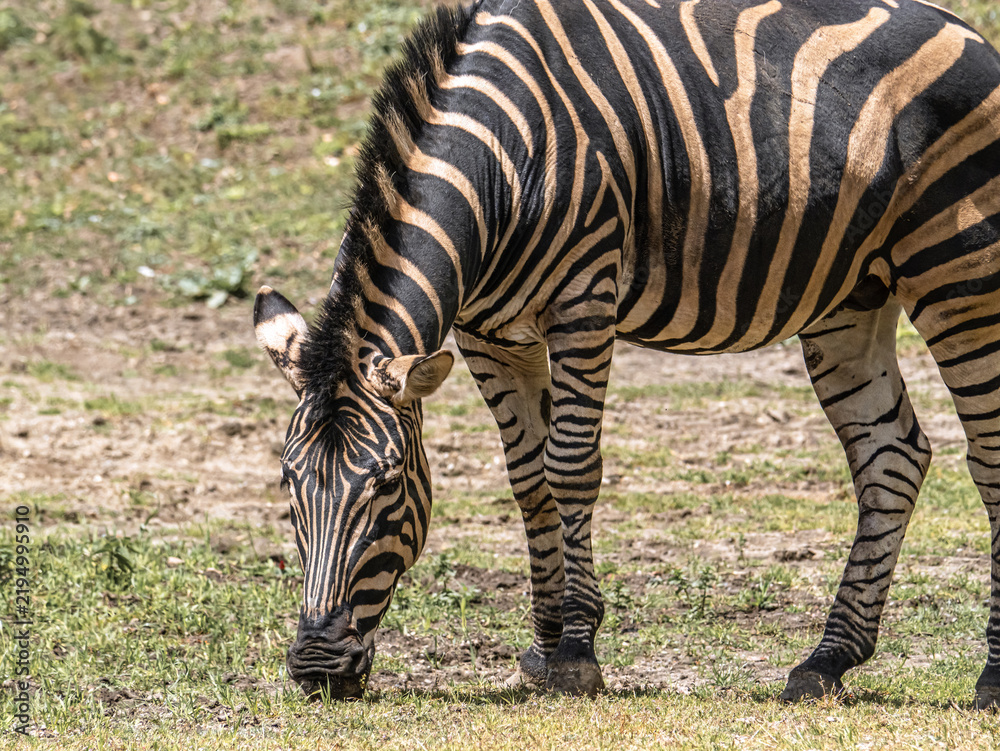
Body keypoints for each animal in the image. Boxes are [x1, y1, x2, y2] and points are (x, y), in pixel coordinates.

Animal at [254, 0, 1000, 706]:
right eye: (289, 485)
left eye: (387, 485)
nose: (316, 667)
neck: (503, 159)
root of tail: (972, 34)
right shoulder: (486, 334)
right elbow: (527, 479)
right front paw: (544, 643)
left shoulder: (584, 301)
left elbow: (568, 467)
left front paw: (576, 651)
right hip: (851, 294)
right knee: (891, 457)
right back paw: (827, 660)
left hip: (957, 274)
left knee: (986, 458)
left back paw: (989, 679)